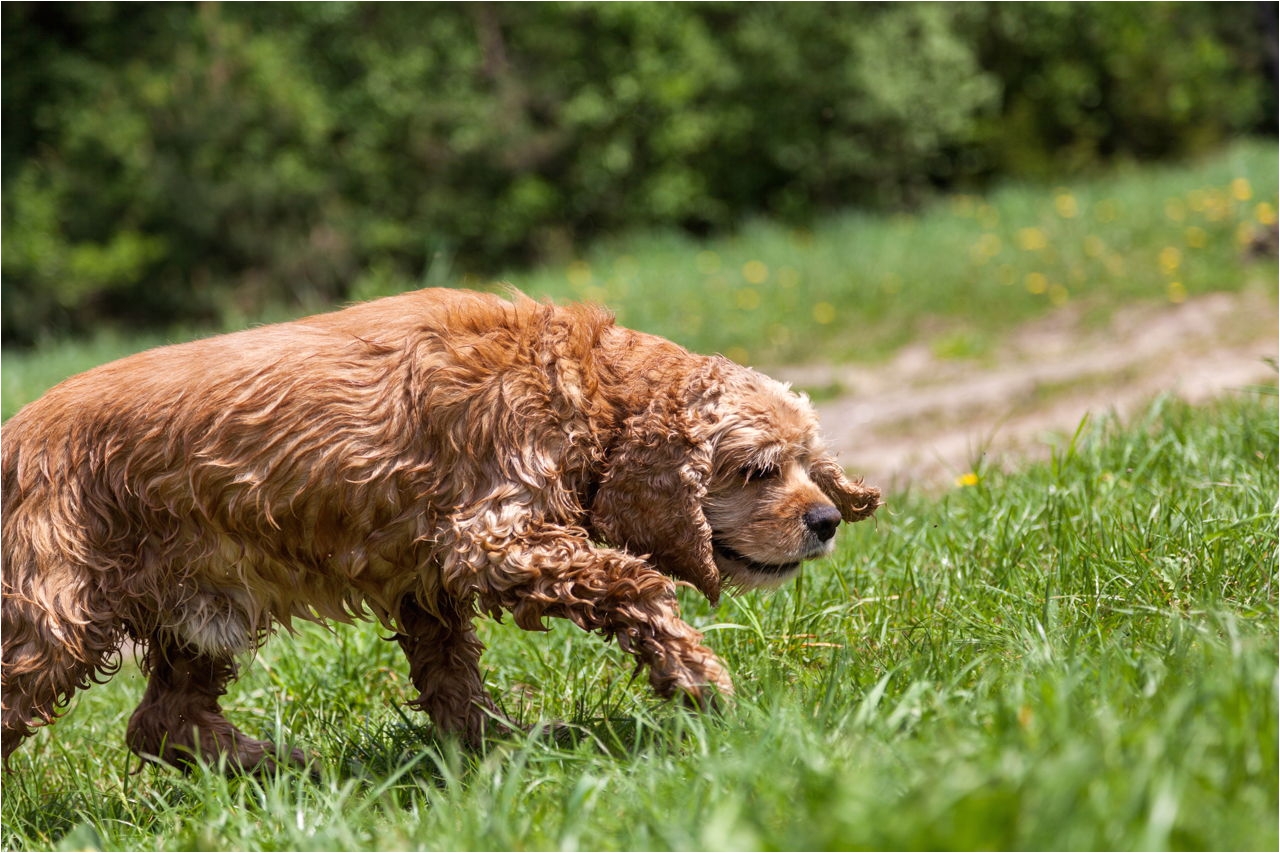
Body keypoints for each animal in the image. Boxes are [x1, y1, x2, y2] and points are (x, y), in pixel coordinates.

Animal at [0, 286, 880, 768]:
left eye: (810, 460)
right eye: (758, 469)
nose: (826, 519)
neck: (581, 383)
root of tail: (13, 437)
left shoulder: (429, 582)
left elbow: (454, 678)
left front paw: (498, 752)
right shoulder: (488, 538)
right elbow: (634, 580)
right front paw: (700, 677)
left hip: (204, 610)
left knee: (157, 723)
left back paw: (282, 765)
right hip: (56, 623)